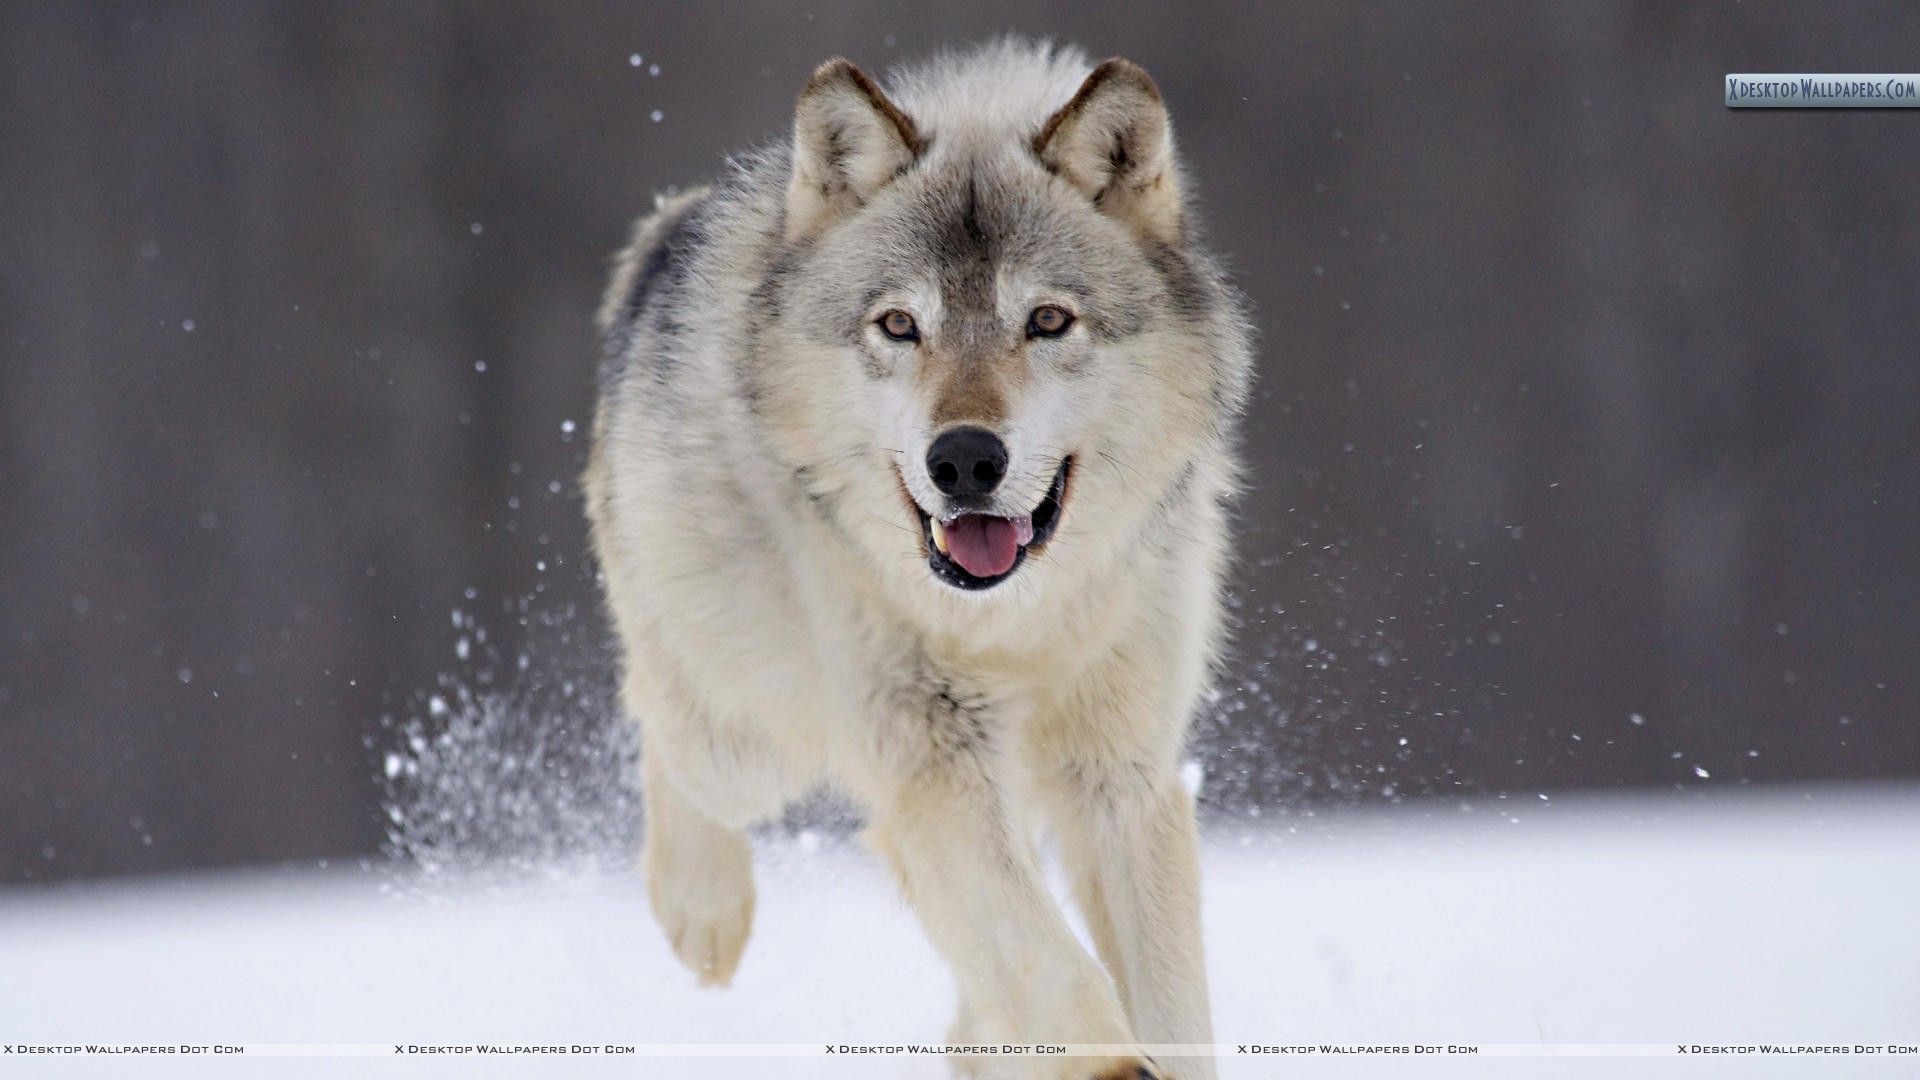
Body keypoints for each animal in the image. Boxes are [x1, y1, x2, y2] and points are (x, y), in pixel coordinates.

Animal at [583, 38, 1251, 1080]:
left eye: (1047, 321)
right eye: (900, 325)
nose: (965, 459)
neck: (1012, 623)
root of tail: (666, 231)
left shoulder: (1122, 773)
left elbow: (1163, 1003)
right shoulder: (930, 759)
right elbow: (1052, 969)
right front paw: (1104, 1062)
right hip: (749, 733)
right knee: (663, 723)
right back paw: (704, 915)